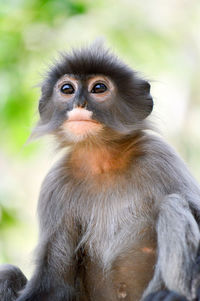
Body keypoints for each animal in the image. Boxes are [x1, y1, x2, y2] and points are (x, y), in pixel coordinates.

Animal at [1, 42, 200, 300]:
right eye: (67, 88)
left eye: (99, 88)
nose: (79, 104)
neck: (102, 161)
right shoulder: (56, 183)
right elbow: (54, 281)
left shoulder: (159, 155)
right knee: (8, 272)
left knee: (173, 204)